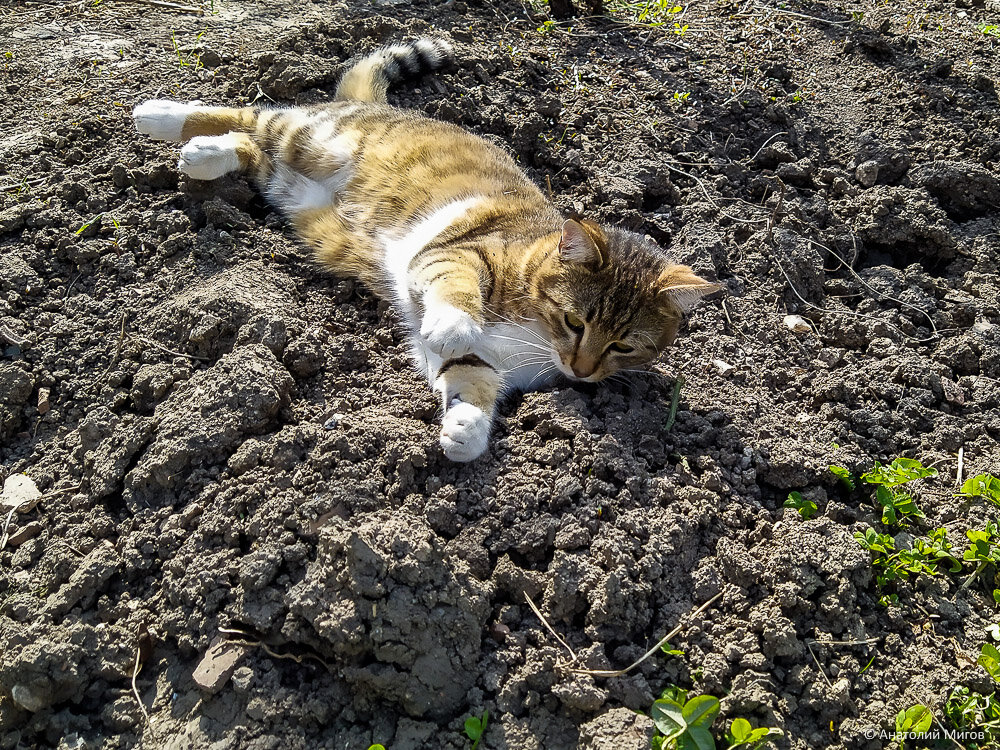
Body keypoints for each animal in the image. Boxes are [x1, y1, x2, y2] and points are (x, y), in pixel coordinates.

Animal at [131, 38, 720, 462]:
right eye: (575, 322)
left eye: (624, 346)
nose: (581, 371)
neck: (536, 333)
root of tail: (369, 105)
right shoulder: (458, 252)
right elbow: (456, 290)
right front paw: (455, 322)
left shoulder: (484, 362)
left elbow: (470, 382)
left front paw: (466, 430)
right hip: (316, 139)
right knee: (257, 115)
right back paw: (160, 116)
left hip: (292, 190)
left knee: (253, 149)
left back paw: (204, 155)